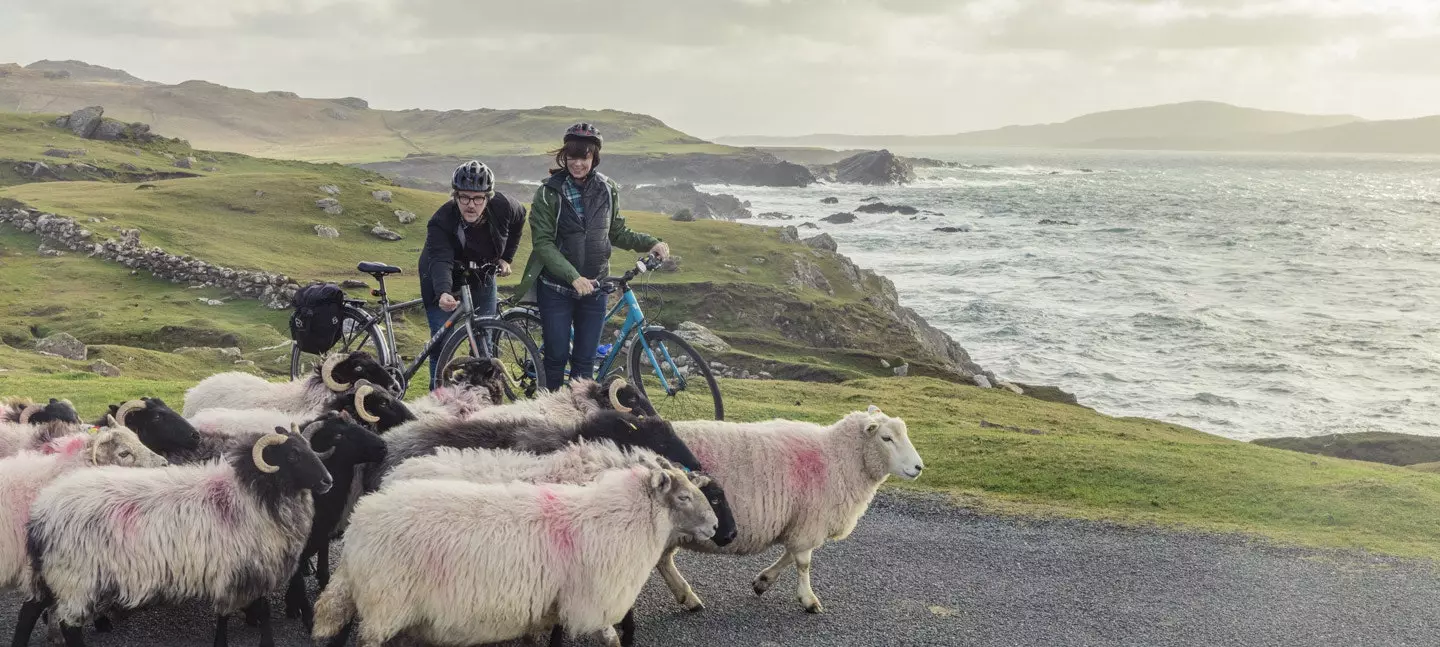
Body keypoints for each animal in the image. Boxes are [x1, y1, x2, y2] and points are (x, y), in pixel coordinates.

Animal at [315, 463, 720, 645]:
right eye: (684, 497)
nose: (716, 527)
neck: (622, 517)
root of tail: (358, 524)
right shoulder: (591, 600)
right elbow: (610, 638)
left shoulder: (549, 601)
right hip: (386, 602)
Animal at [653, 406, 921, 613]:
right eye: (886, 438)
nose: (919, 467)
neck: (838, 459)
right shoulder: (811, 520)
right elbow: (803, 562)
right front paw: (809, 600)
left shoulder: (800, 522)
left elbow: (791, 555)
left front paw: (763, 581)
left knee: (663, 560)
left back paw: (687, 598)